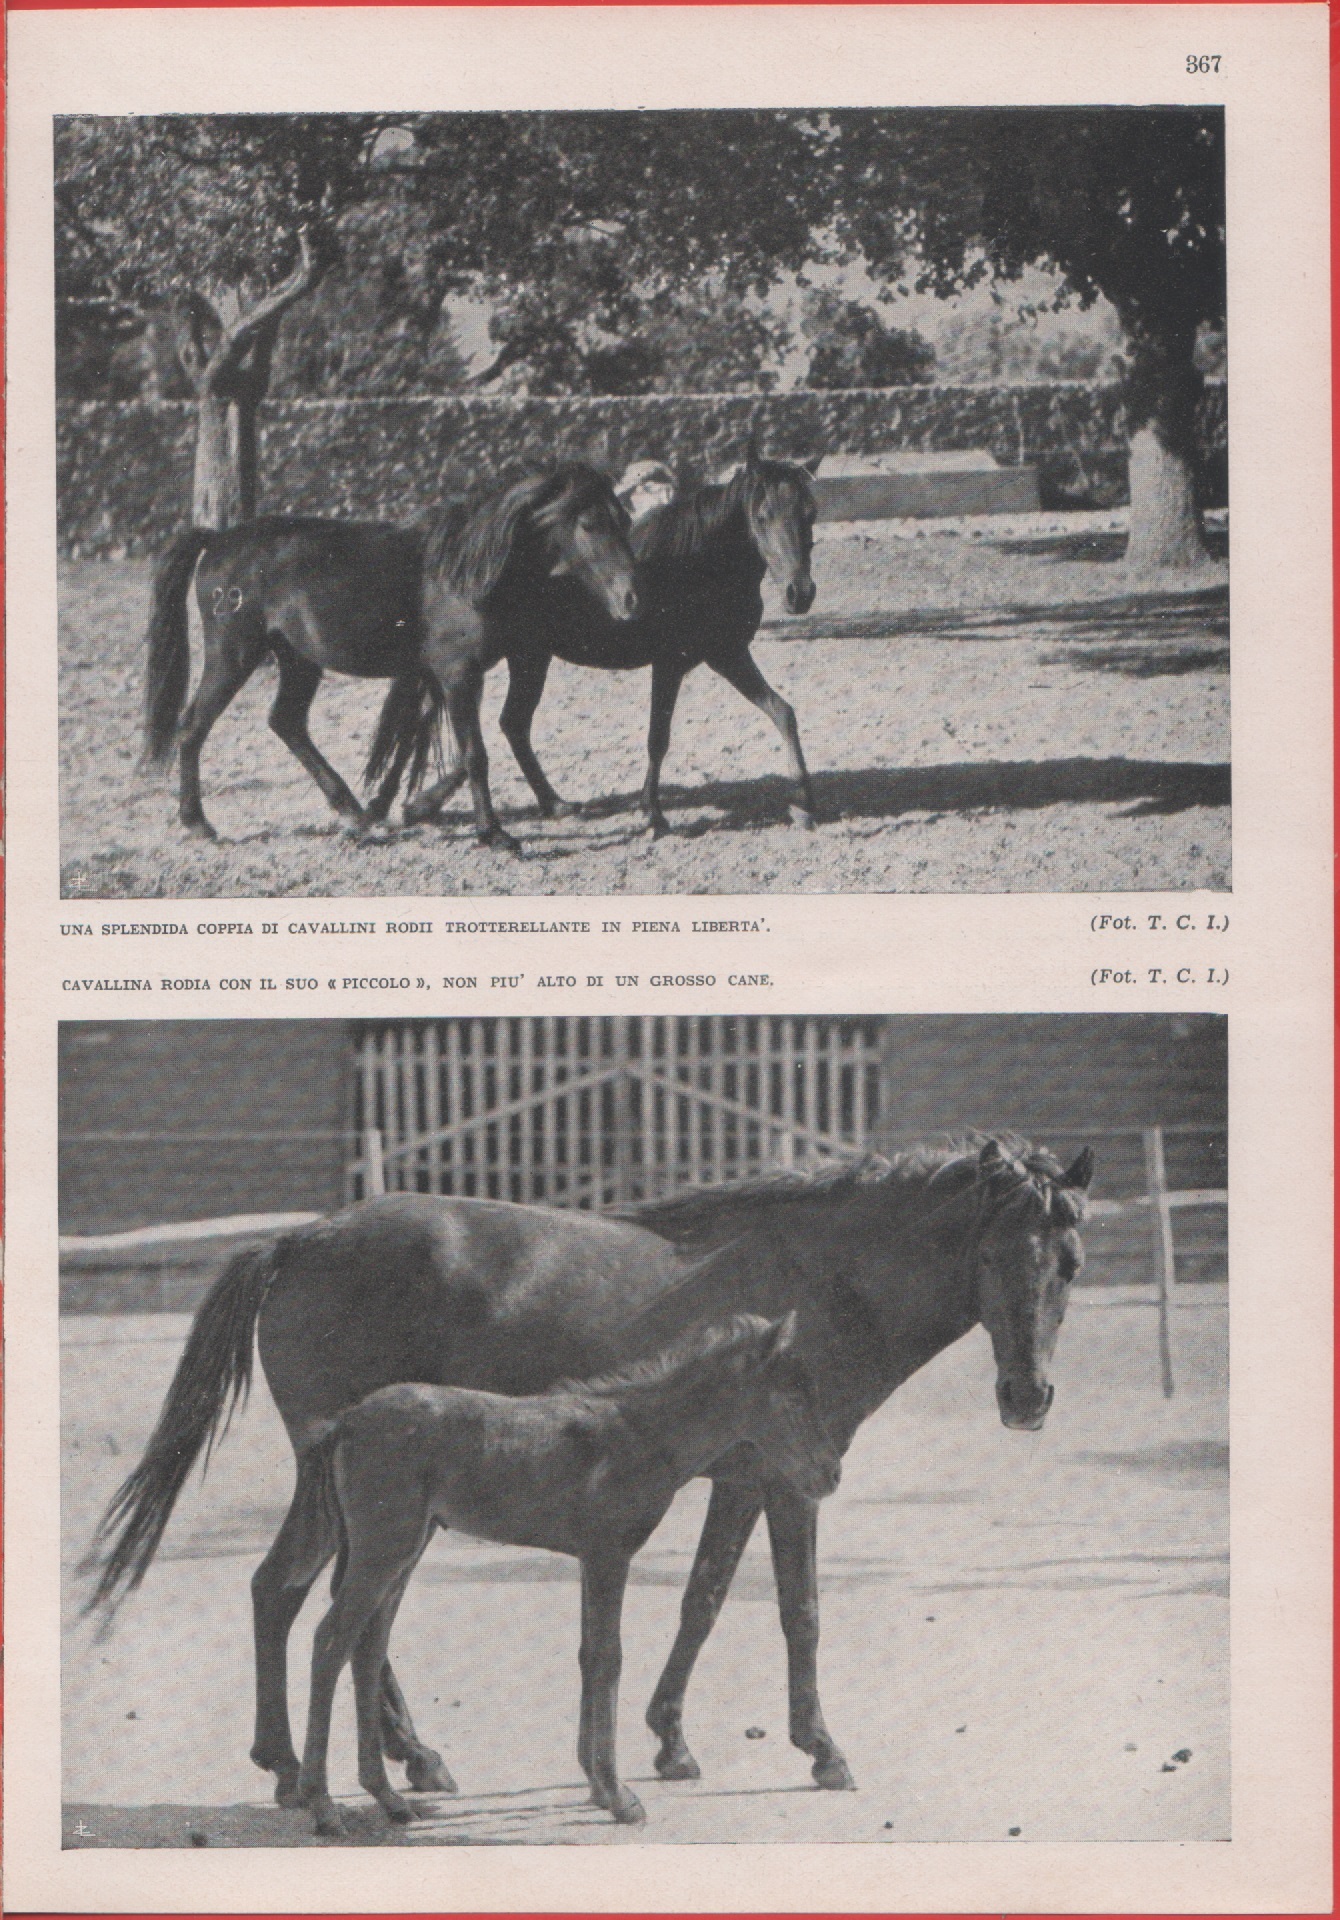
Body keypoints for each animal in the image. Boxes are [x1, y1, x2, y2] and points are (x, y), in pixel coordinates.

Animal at [139, 462, 639, 852]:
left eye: (624, 519)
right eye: (589, 523)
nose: (631, 599)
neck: (466, 571)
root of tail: (219, 540)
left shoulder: (450, 675)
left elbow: (443, 742)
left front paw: (403, 806)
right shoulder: (459, 674)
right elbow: (474, 752)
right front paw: (494, 834)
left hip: (298, 659)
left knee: (286, 722)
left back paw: (352, 810)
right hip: (234, 654)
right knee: (194, 726)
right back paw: (199, 823)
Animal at [294, 1313, 840, 1834]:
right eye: (792, 1395)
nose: (830, 1475)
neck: (639, 1435)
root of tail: (347, 1420)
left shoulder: (589, 1559)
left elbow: (587, 1654)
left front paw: (598, 1786)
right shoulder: (608, 1554)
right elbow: (607, 1659)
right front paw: (619, 1797)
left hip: (405, 1550)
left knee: (367, 1648)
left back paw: (388, 1797)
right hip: (383, 1549)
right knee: (331, 1640)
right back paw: (323, 1806)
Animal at [393, 442, 822, 841]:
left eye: (810, 514)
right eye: (762, 516)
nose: (799, 594)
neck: (698, 564)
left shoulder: (728, 654)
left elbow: (783, 713)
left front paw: (803, 804)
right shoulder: (671, 663)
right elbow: (658, 738)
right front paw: (653, 814)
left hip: (529, 658)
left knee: (510, 725)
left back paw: (547, 803)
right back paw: (421, 806)